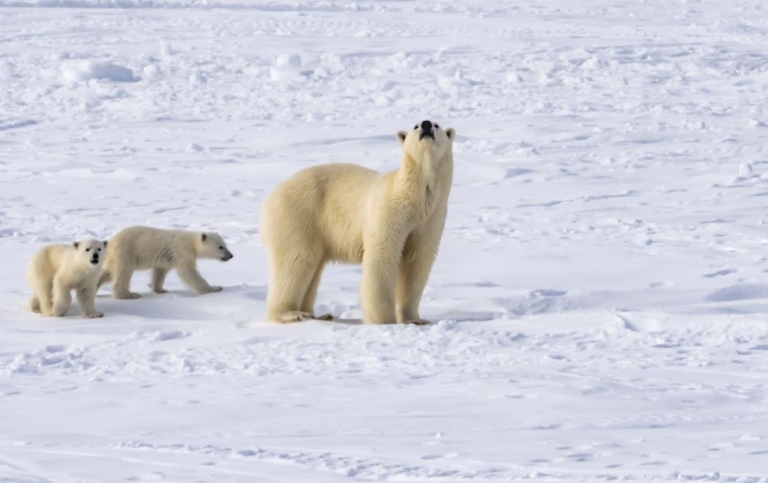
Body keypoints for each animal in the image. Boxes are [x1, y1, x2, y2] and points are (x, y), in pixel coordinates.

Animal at [98, 227, 234, 298]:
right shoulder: (182, 252)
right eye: (220, 247)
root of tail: (110, 242)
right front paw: (214, 288)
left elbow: (159, 272)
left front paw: (160, 290)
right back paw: (129, 294)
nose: (231, 255)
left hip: (113, 257)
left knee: (107, 273)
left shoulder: (166, 258)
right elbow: (189, 273)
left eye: (225, 245)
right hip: (125, 252)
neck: (191, 243)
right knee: (123, 272)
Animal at [260, 120, 452, 326]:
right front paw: (383, 320)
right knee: (296, 260)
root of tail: (269, 198)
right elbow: (382, 256)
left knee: (312, 267)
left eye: (437, 124)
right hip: (298, 215)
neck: (415, 199)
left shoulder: (430, 219)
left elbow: (416, 261)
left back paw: (319, 314)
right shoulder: (389, 212)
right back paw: (293, 313)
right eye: (415, 126)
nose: (426, 124)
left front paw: (415, 319)